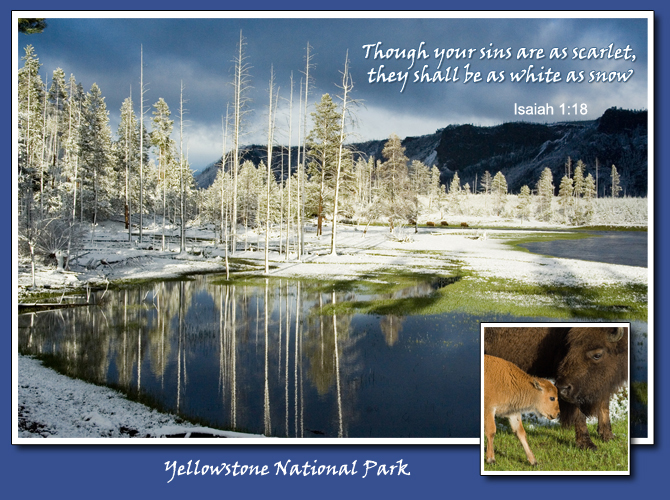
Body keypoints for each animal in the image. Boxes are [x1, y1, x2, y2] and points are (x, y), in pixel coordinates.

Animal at [486, 326, 628, 452]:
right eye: (569, 349)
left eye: (597, 355)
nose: (562, 389)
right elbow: (579, 413)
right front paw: (587, 444)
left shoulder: (604, 384)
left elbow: (604, 406)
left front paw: (608, 436)